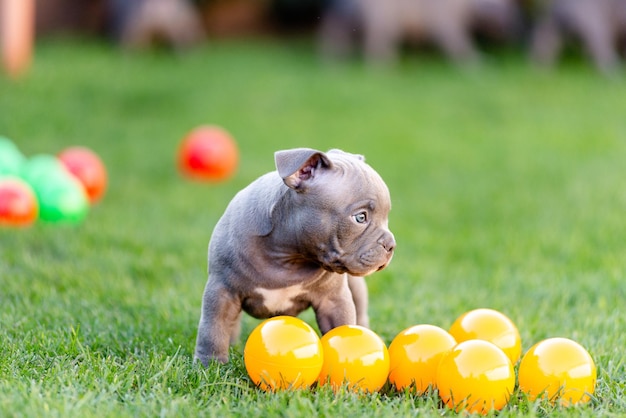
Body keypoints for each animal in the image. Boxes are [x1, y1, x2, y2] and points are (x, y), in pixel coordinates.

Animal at [194, 149, 394, 364]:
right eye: (360, 217)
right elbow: (213, 330)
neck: (290, 256)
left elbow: (341, 328)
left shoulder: (333, 300)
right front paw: (209, 364)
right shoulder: (222, 291)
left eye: (386, 217)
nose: (391, 245)